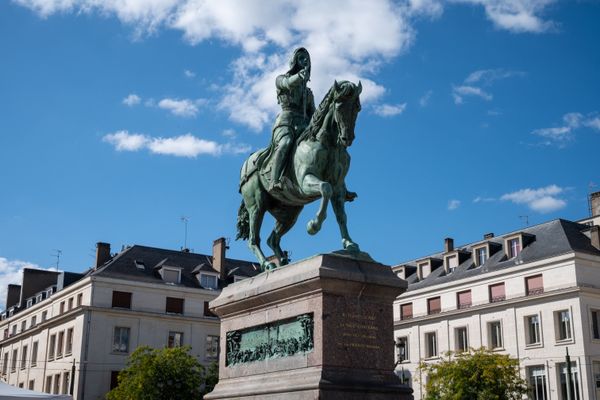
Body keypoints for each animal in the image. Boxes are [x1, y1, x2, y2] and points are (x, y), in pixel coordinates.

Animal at [238, 79, 360, 270]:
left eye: (357, 107)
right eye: (339, 106)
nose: (347, 138)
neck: (328, 144)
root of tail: (246, 165)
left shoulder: (339, 188)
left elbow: (341, 216)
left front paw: (349, 243)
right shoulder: (306, 182)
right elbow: (325, 188)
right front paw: (313, 225)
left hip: (289, 213)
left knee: (272, 239)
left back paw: (282, 263)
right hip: (256, 207)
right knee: (253, 239)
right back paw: (267, 264)